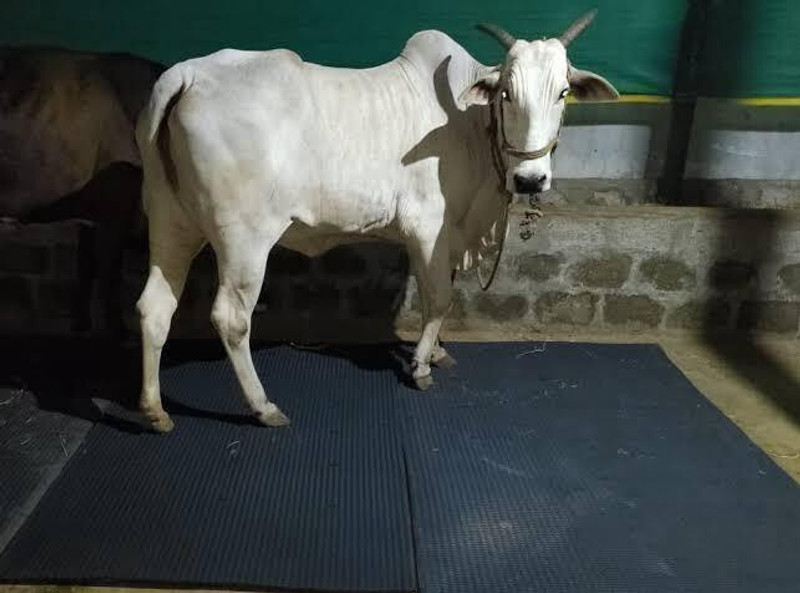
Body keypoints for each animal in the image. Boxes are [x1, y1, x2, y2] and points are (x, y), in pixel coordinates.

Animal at [0, 47, 164, 334]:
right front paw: (118, 330)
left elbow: (85, 266)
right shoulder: (115, 205)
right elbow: (110, 271)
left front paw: (81, 325)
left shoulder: (91, 214)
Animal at [135, 11, 619, 432]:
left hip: (170, 222)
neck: (469, 127)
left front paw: (437, 352)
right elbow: (438, 297)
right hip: (244, 240)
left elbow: (440, 290)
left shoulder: (448, 236)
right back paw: (262, 406)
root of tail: (189, 73)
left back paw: (155, 411)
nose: (531, 178)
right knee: (232, 318)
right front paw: (421, 366)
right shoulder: (427, 226)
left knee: (154, 307)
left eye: (563, 92)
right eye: (506, 94)